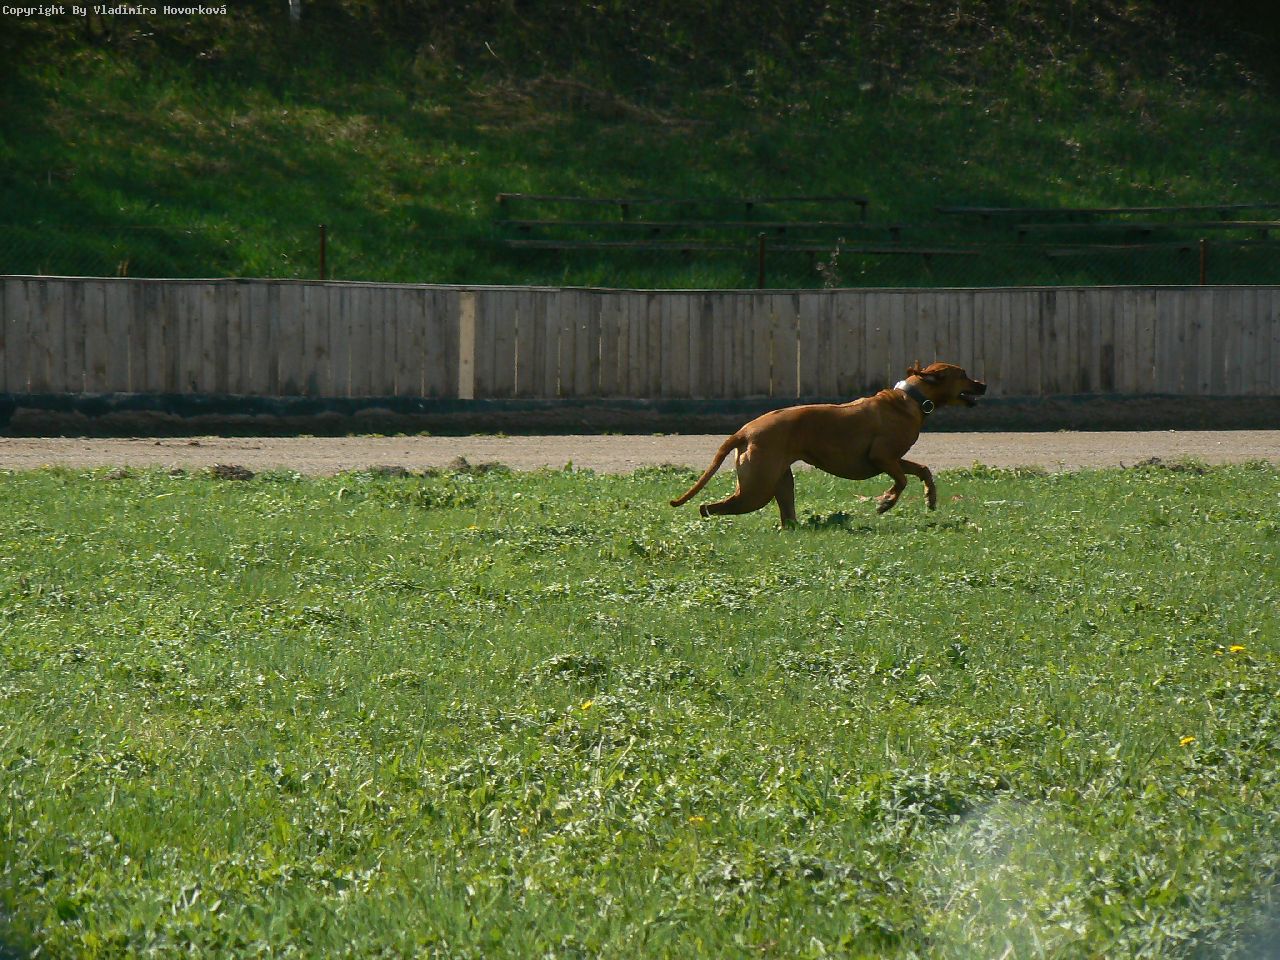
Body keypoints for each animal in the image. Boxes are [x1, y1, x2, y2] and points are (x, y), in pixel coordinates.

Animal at [670, 362, 987, 525]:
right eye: (963, 375)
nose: (984, 384)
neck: (911, 398)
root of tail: (745, 430)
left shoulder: (895, 458)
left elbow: (923, 470)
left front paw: (930, 498)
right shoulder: (882, 457)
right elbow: (901, 480)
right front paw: (886, 502)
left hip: (781, 481)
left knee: (786, 518)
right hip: (756, 490)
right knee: (708, 507)